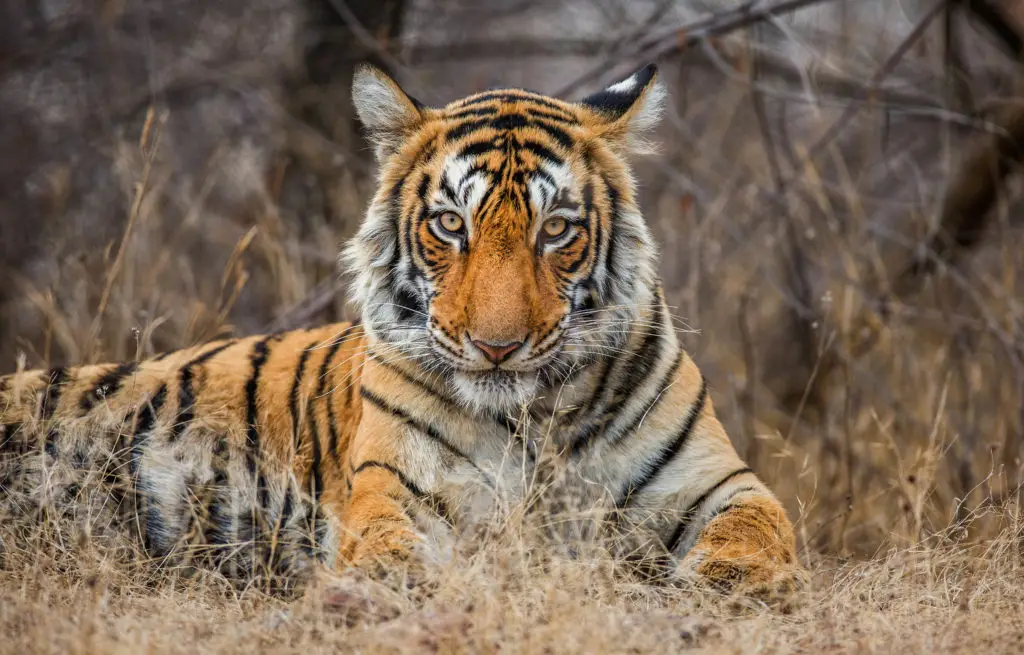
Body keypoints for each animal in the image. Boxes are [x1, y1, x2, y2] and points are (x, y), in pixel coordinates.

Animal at [0, 63, 800, 595]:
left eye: (555, 230)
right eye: (450, 224)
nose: (497, 347)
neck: (535, 418)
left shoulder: (719, 483)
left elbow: (756, 531)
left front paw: (723, 585)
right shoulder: (397, 492)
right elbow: (392, 553)